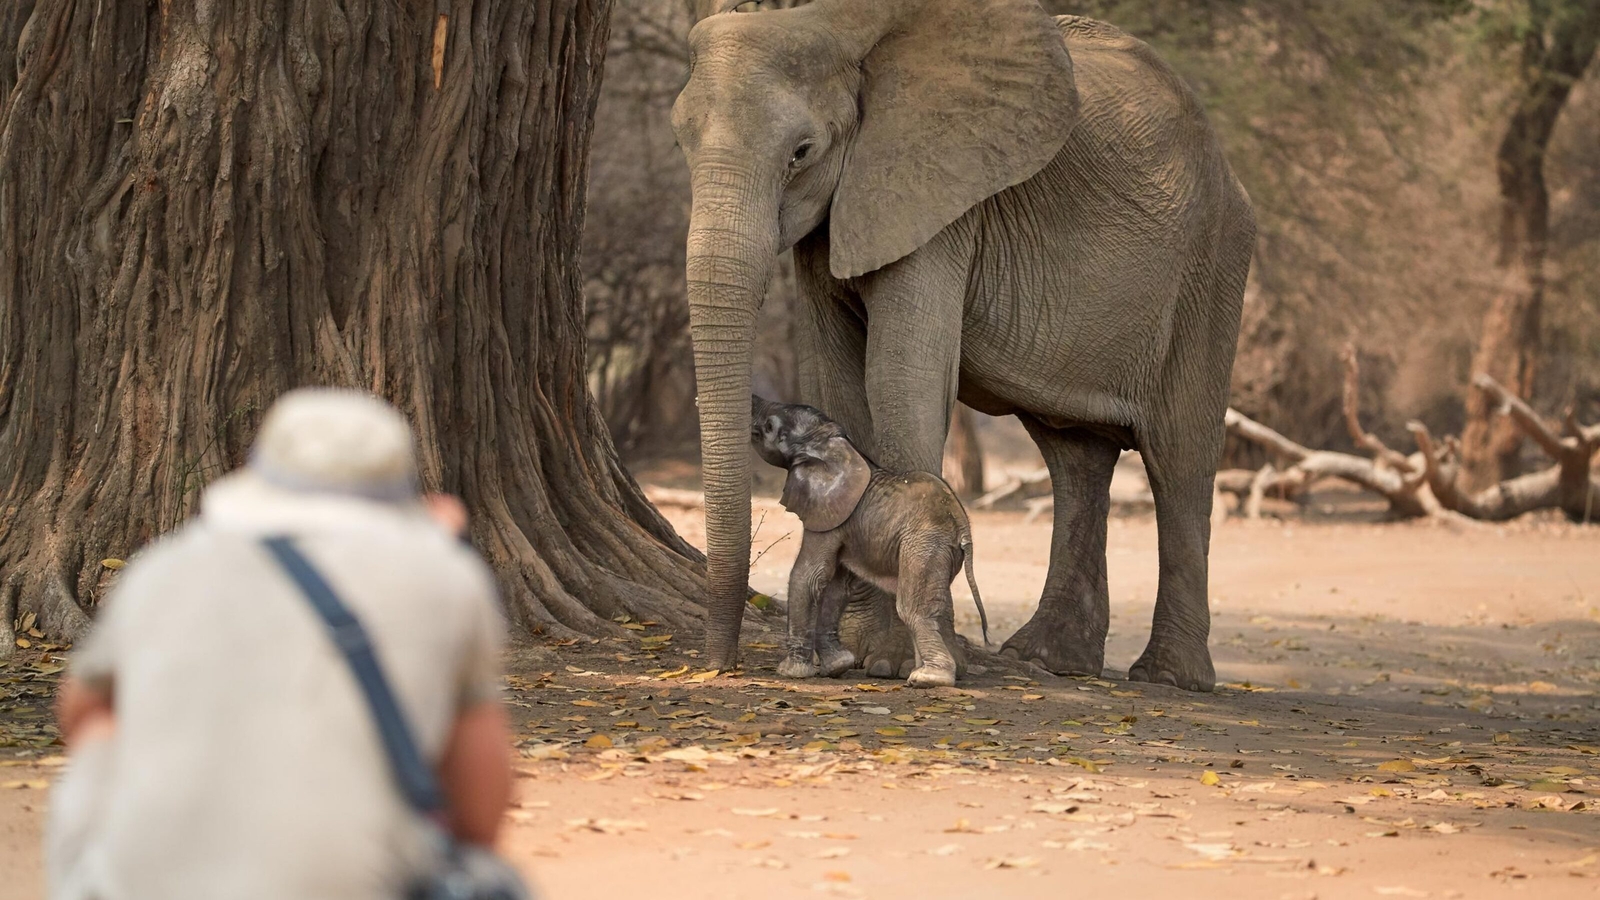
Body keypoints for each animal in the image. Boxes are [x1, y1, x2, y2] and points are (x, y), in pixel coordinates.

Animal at [751, 395, 990, 687]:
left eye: (770, 426)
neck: (833, 445)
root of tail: (963, 528)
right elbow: (835, 585)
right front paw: (837, 666)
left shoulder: (827, 515)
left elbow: (809, 576)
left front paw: (790, 671)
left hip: (925, 543)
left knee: (912, 608)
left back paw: (928, 678)